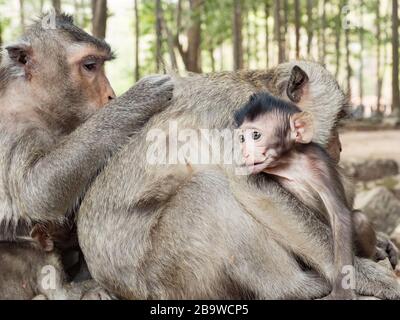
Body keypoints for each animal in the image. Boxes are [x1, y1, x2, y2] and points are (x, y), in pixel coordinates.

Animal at [234, 92, 356, 300]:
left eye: (256, 135)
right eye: (242, 138)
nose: (245, 152)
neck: (290, 162)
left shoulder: (320, 164)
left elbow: (340, 215)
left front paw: (342, 289)